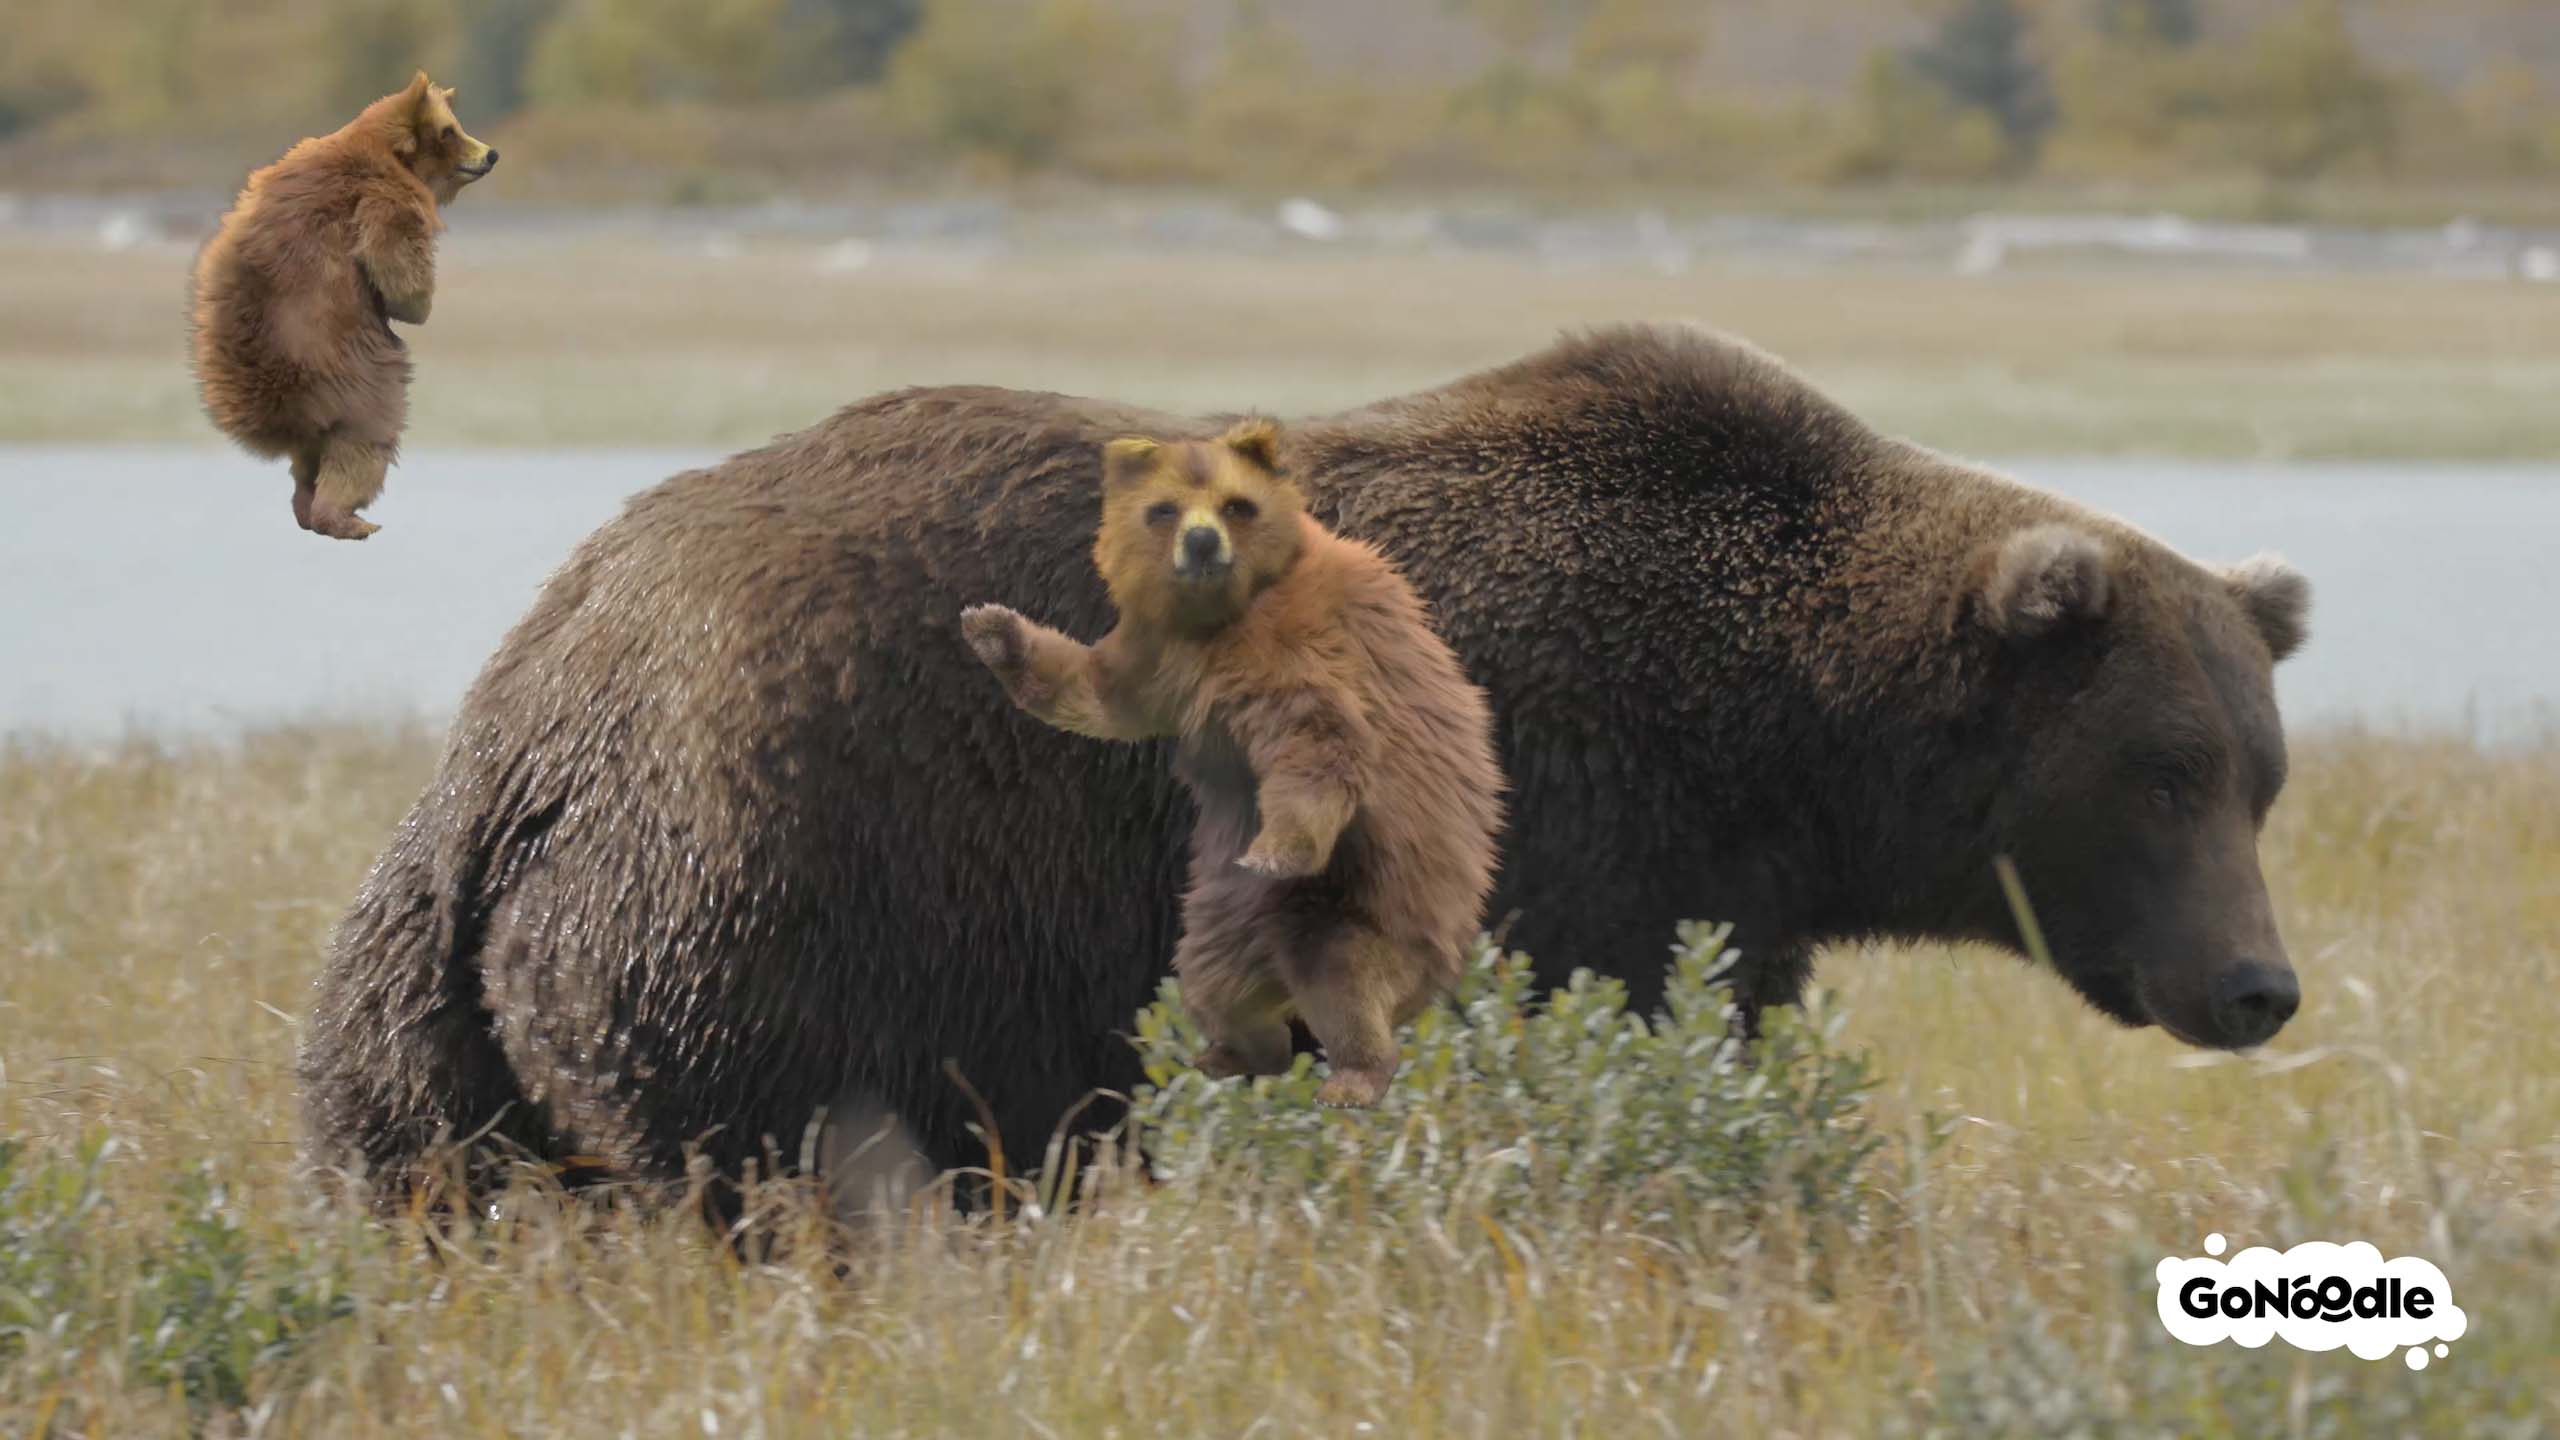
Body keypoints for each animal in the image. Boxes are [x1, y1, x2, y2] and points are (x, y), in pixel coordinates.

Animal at [190, 70, 497, 540]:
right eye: (451, 131)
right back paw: (346, 519)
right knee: (366, 443)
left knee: (309, 458)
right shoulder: (386, 198)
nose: (491, 153)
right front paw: (416, 302)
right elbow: (398, 263)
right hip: (357, 380)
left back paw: (306, 504)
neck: (388, 154)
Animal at [959, 420, 1504, 1108]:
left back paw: (1353, 1077)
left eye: (1235, 505)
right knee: (1216, 979)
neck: (1220, 618)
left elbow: (1320, 738)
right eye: (1164, 509)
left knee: (1344, 977)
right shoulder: (1160, 656)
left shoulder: (1290, 645)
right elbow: (1097, 691)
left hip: (1372, 896)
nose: (1200, 542)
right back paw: (1234, 1052)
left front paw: (1277, 848)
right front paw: (992, 629)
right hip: (1228, 915)